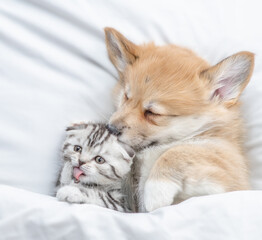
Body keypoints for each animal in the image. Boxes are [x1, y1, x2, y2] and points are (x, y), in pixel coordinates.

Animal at [104, 27, 254, 212]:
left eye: (152, 113)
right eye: (126, 97)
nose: (110, 129)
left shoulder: (229, 170)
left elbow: (178, 152)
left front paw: (155, 192)